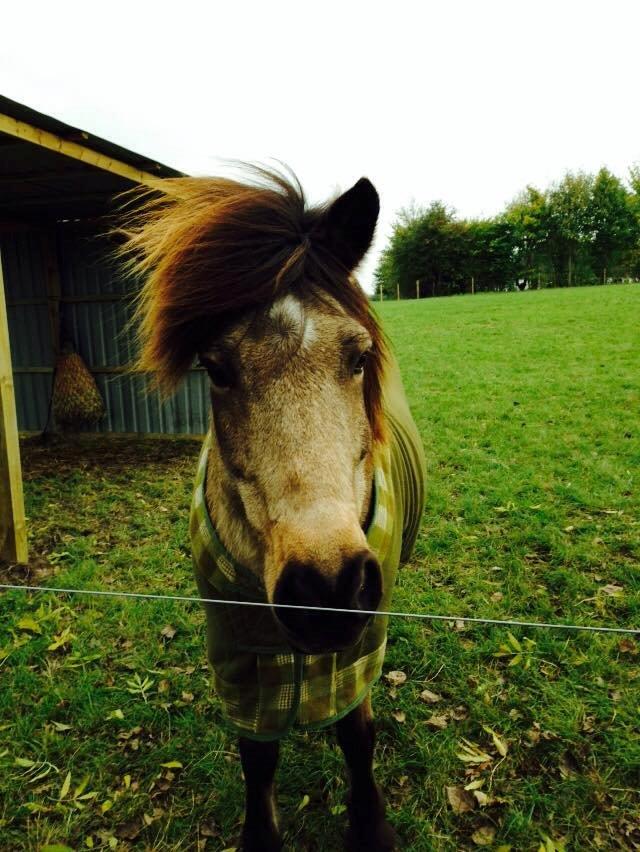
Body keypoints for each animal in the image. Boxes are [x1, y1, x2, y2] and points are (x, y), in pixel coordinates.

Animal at [122, 168, 428, 852]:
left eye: (358, 356)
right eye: (215, 369)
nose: (326, 589)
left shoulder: (358, 645)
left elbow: (356, 734)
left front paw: (370, 826)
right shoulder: (240, 653)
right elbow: (257, 756)